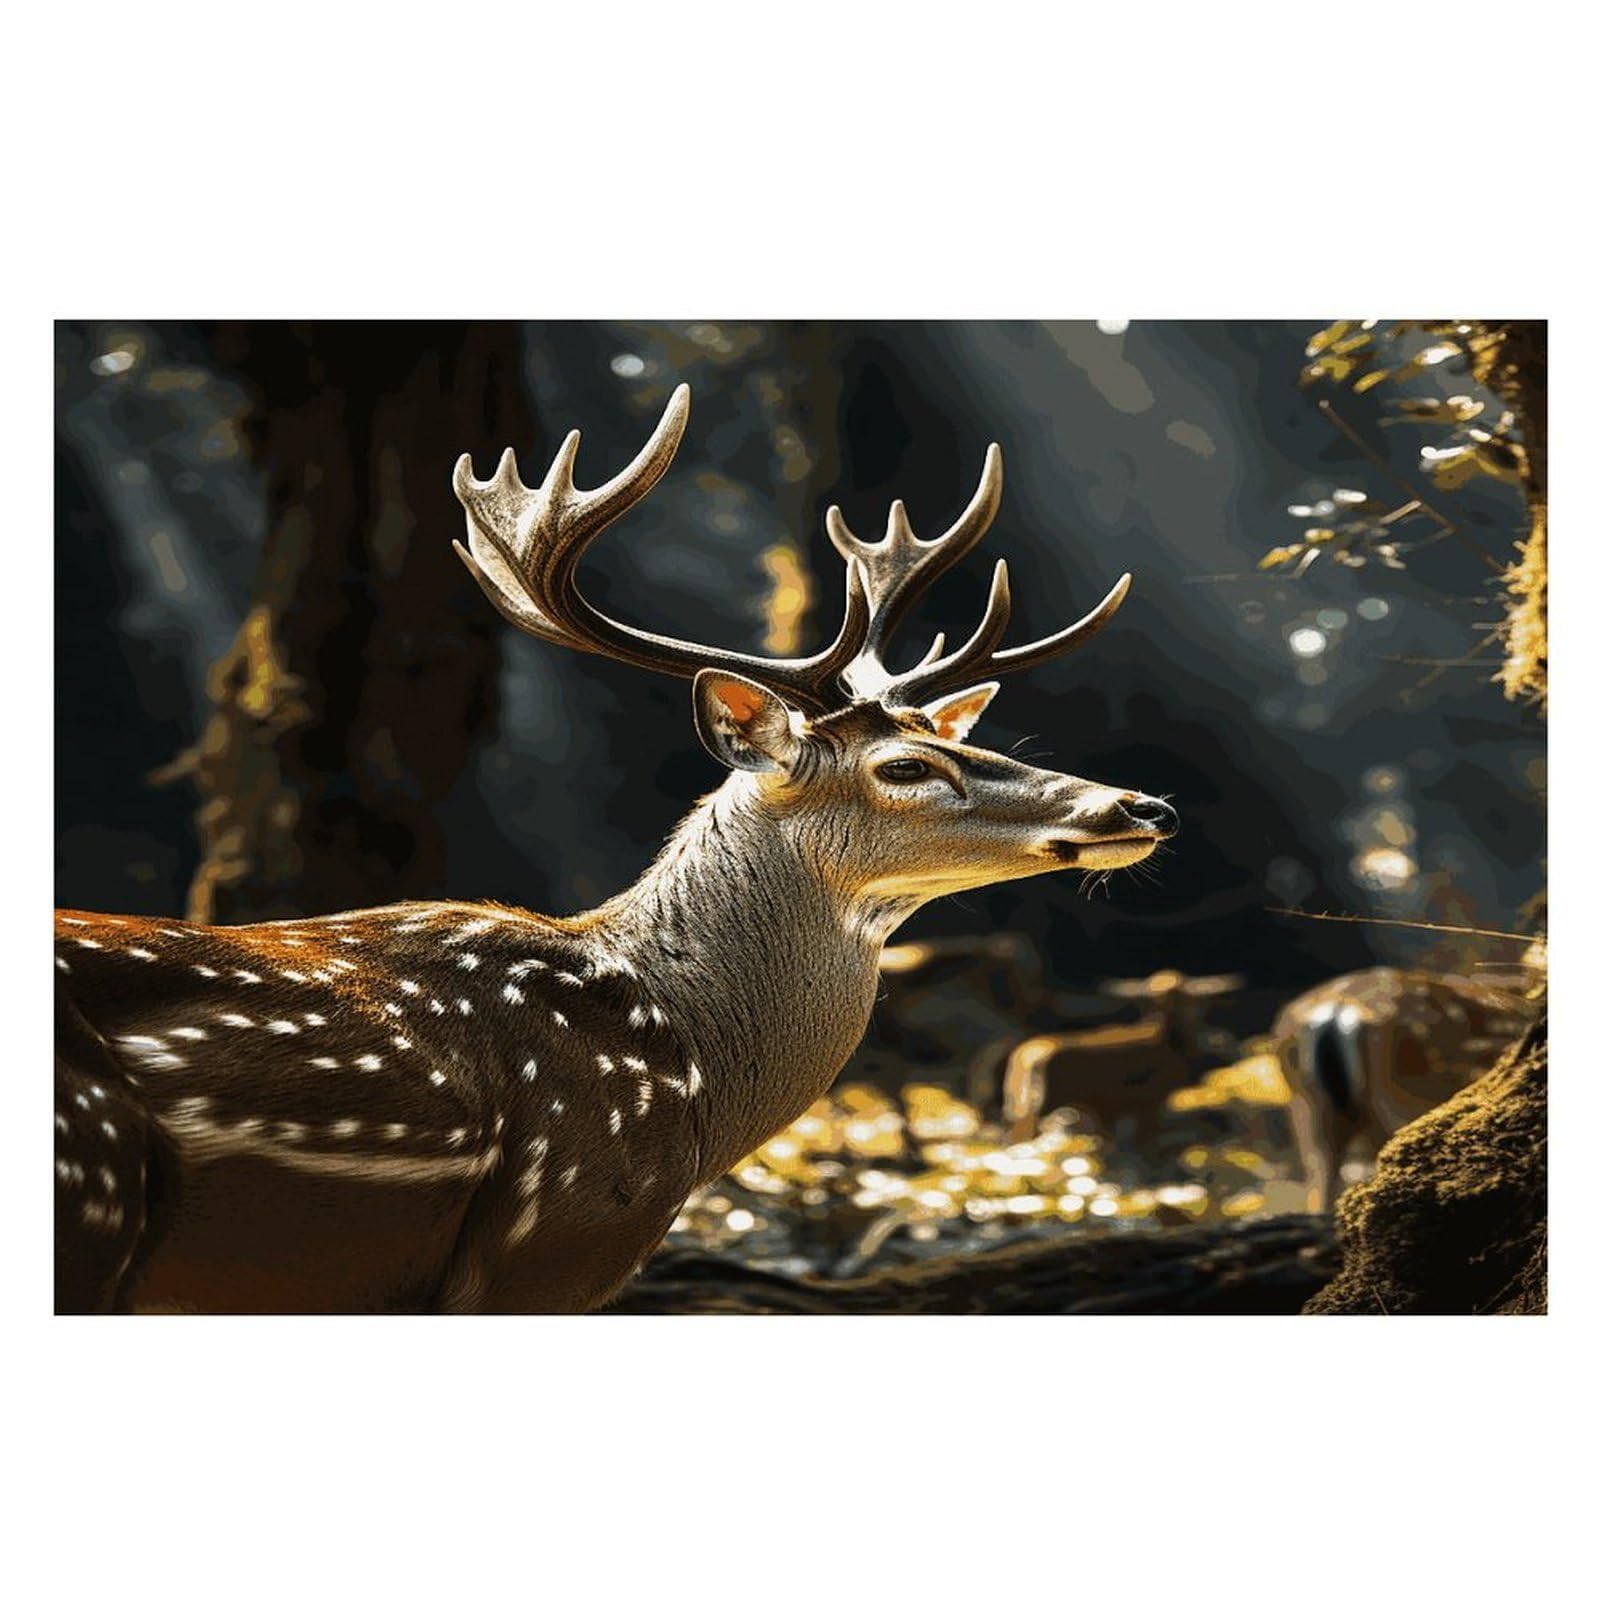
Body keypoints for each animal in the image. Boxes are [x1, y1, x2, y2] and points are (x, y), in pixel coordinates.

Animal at [53, 383, 1178, 1313]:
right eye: (903, 766)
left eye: (961, 736)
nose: (1143, 806)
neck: (689, 1077)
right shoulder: (547, 1241)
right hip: (90, 1192)